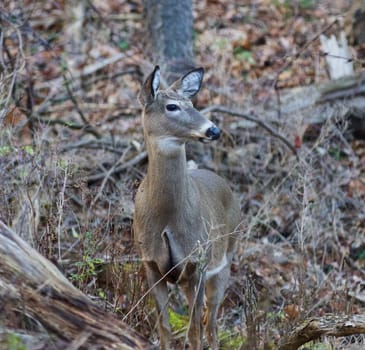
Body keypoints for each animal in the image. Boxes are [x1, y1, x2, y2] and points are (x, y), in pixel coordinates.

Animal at [132, 66, 240, 350]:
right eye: (172, 106)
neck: (167, 220)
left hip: (225, 260)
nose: (213, 130)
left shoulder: (198, 263)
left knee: (211, 324)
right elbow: (165, 328)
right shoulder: (151, 263)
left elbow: (194, 332)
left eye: (192, 103)